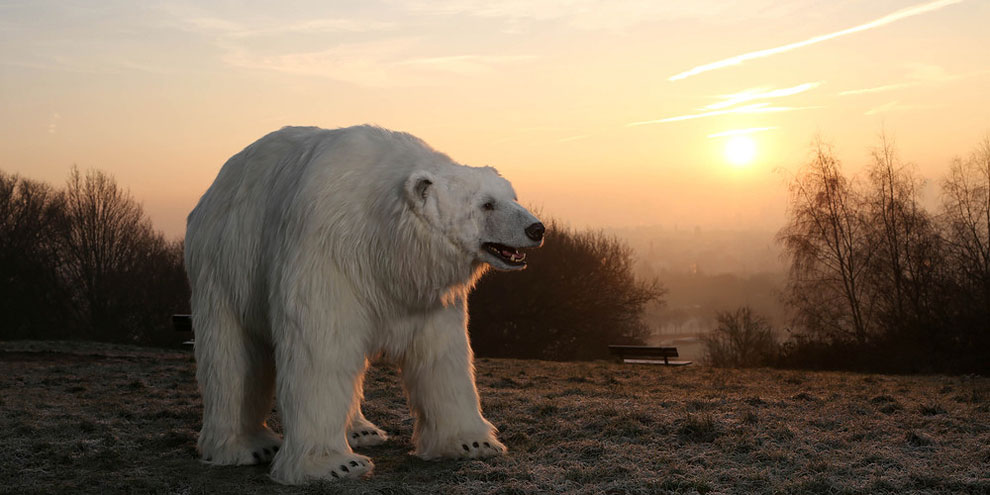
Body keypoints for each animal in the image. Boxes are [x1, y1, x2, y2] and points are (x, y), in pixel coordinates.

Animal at [182, 125, 548, 484]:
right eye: (487, 205)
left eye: (512, 197)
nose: (537, 228)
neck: (383, 237)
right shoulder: (327, 251)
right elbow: (322, 349)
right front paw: (335, 465)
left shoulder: (420, 291)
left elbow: (442, 353)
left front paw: (473, 443)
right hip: (224, 263)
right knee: (230, 357)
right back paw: (245, 447)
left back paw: (362, 431)